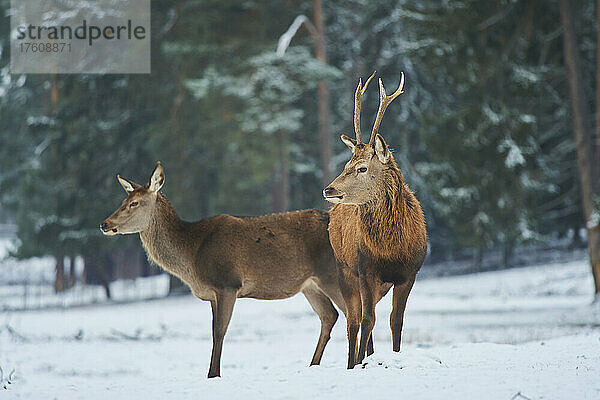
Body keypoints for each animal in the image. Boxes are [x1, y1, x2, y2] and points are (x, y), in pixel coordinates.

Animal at [99, 162, 366, 378]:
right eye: (122, 202)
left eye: (134, 203)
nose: (105, 224)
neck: (192, 255)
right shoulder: (212, 294)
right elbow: (214, 330)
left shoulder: (227, 283)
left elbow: (219, 331)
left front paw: (213, 374)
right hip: (310, 285)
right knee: (329, 316)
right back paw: (316, 363)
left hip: (332, 274)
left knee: (354, 313)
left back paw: (357, 361)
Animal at [324, 71, 426, 366]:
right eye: (345, 165)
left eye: (361, 168)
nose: (328, 190)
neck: (391, 249)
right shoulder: (364, 268)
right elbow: (367, 319)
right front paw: (357, 363)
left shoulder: (410, 273)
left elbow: (396, 321)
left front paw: (395, 355)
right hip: (344, 270)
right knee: (353, 320)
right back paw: (353, 360)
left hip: (380, 284)